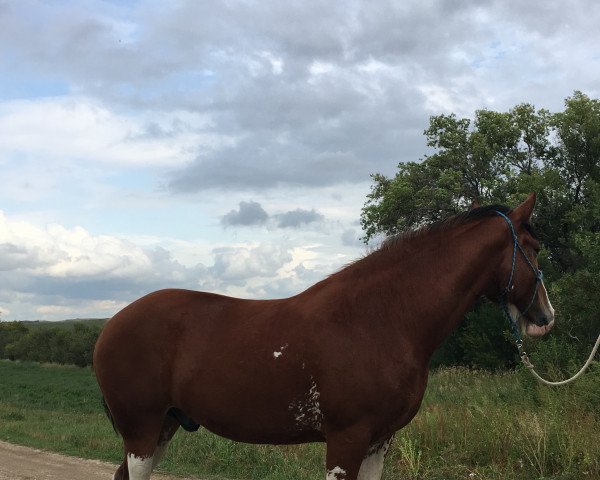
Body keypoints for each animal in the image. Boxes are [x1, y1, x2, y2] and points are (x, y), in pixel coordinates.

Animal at [91, 192, 556, 480]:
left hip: (163, 427)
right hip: (142, 429)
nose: (546, 317)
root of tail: (110, 325)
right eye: (534, 249)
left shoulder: (379, 441)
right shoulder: (347, 438)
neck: (381, 319)